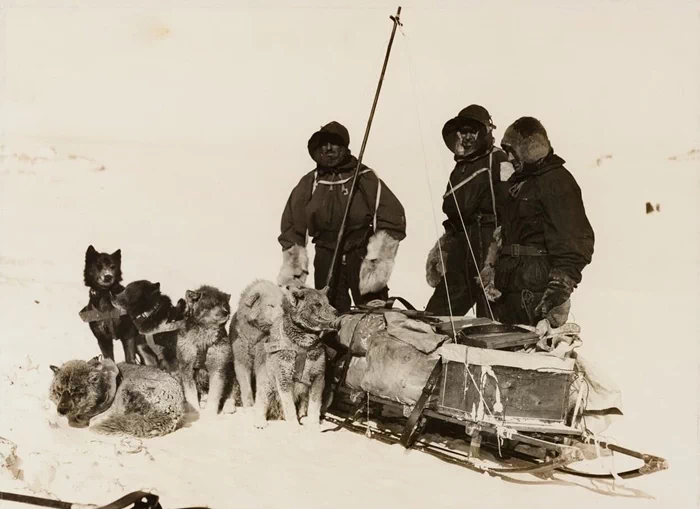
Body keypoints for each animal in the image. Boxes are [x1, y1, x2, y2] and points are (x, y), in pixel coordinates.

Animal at [254, 286, 340, 428]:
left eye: (328, 302)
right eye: (317, 304)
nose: (336, 312)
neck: (303, 343)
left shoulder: (318, 378)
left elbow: (315, 405)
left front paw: (314, 424)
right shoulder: (284, 378)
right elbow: (289, 406)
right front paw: (294, 426)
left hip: (328, 393)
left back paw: (305, 418)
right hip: (266, 383)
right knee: (262, 403)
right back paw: (260, 421)